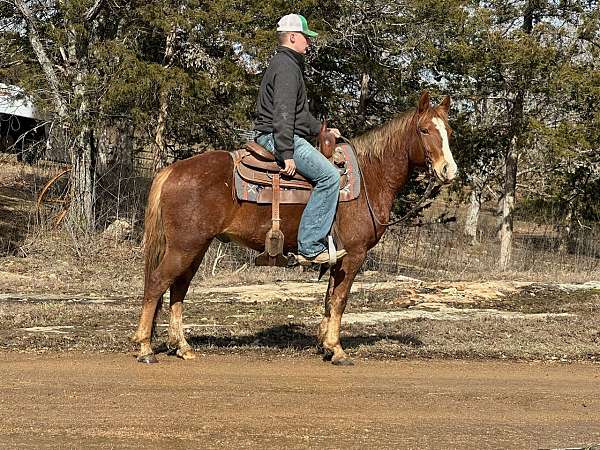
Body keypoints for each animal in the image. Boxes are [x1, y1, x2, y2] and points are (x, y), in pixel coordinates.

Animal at [134, 92, 458, 366]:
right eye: (424, 130)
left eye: (449, 132)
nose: (449, 171)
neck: (370, 176)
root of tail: (171, 170)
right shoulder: (354, 255)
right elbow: (340, 300)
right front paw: (338, 350)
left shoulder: (337, 257)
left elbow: (329, 300)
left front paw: (325, 346)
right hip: (184, 246)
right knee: (157, 284)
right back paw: (146, 348)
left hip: (195, 247)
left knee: (178, 288)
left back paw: (182, 346)